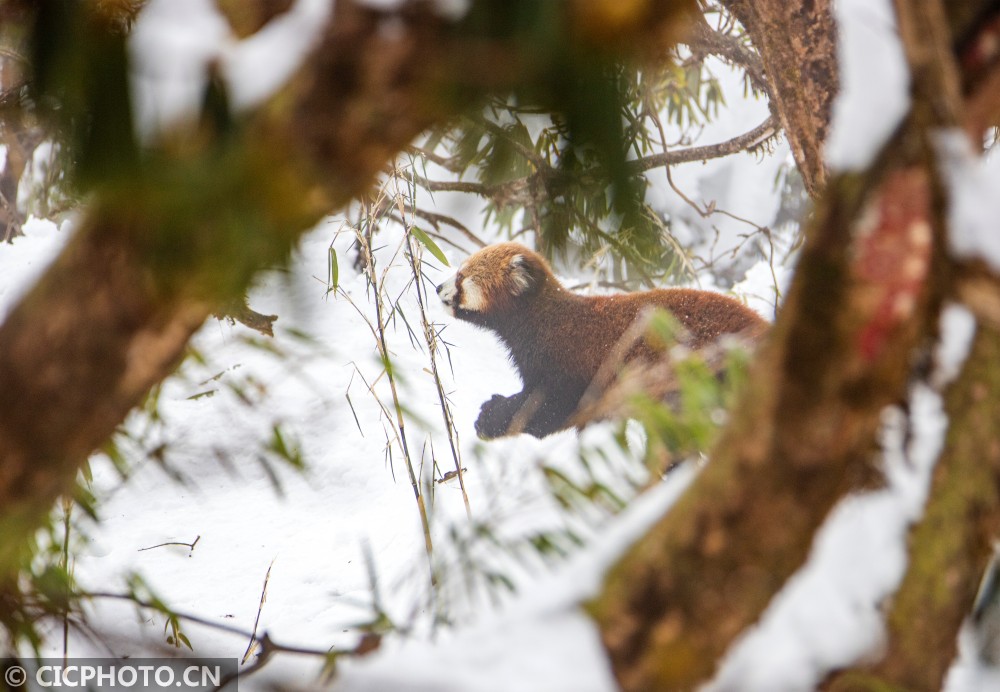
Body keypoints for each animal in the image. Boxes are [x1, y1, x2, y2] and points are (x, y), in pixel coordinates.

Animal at [438, 243, 764, 438]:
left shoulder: (566, 367)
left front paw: (493, 415)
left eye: (462, 277)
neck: (539, 320)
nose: (439, 286)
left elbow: (548, 411)